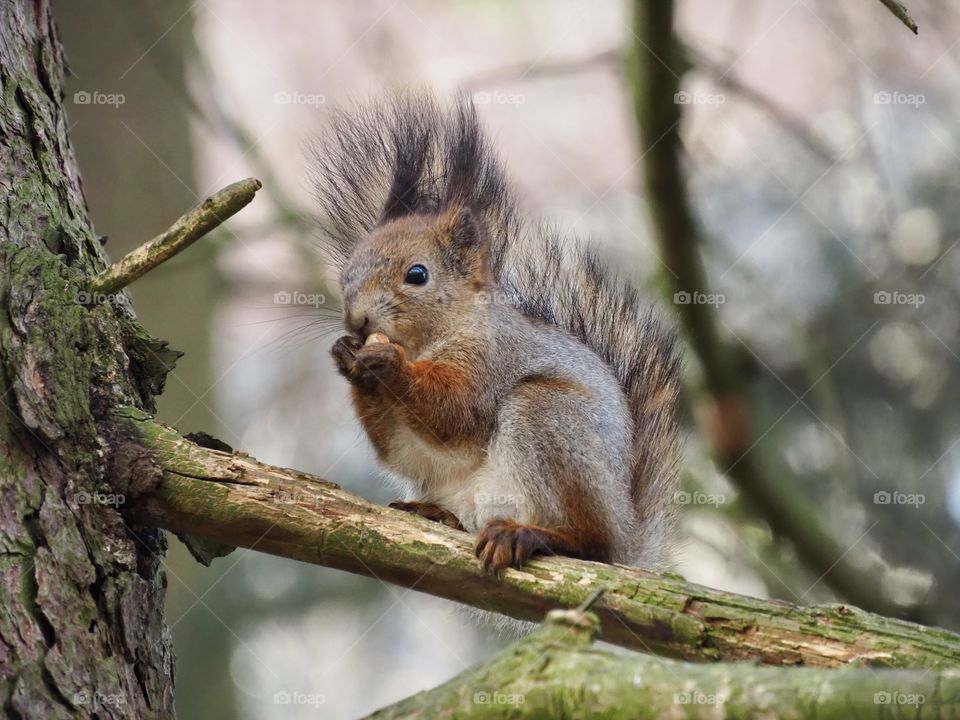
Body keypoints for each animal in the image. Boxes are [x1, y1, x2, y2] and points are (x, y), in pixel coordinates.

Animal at [312, 93, 681, 573]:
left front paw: (389, 365)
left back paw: (533, 534)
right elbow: (402, 449)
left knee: (590, 543)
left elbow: (456, 413)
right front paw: (346, 355)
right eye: (349, 271)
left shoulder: (491, 357)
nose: (357, 322)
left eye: (417, 275)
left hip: (547, 416)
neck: (431, 339)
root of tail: (628, 541)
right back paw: (437, 514)